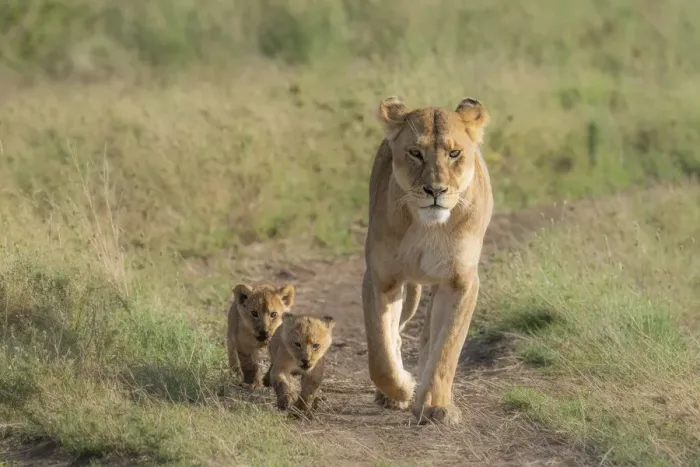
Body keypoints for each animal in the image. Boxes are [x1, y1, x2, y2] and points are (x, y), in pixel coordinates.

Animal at [362, 96, 493, 425]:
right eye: (415, 153)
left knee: (427, 338)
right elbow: (380, 354)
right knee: (395, 337)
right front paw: (401, 390)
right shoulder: (380, 279)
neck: (428, 226)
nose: (435, 190)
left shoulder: (460, 282)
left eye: (454, 153)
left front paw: (436, 405)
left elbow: (446, 348)